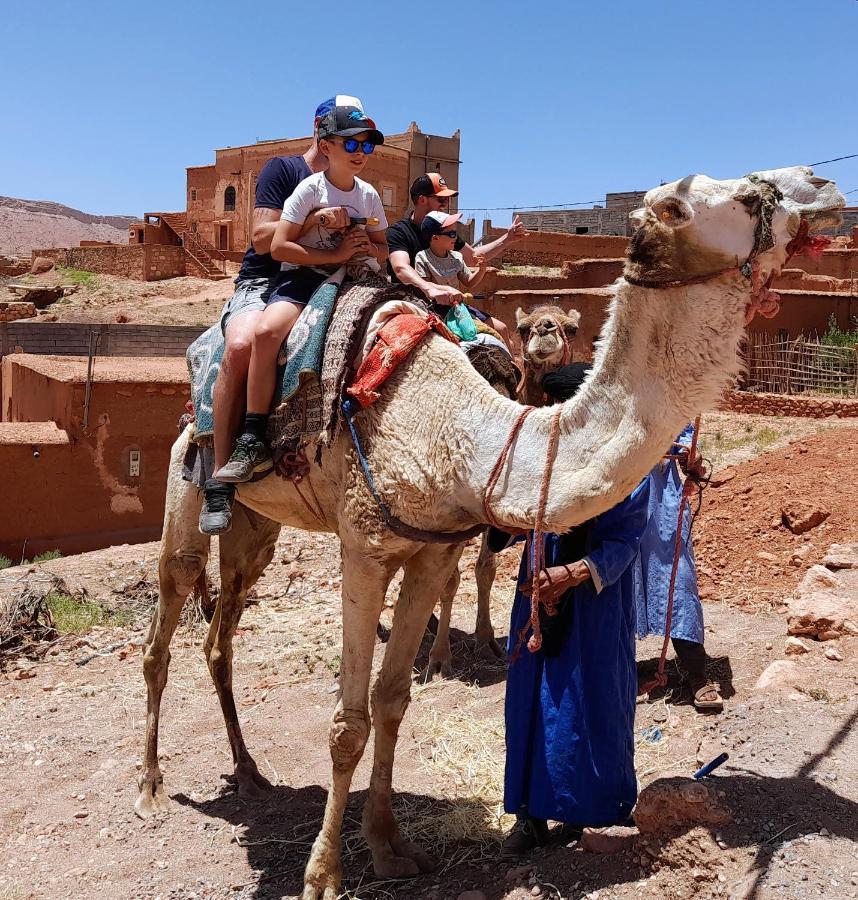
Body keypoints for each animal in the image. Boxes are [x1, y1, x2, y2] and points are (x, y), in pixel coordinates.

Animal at [137, 169, 840, 900]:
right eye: (732, 198)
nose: (820, 186)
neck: (460, 432)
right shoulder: (365, 548)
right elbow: (347, 724)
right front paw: (324, 876)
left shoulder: (431, 549)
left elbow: (393, 701)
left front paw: (390, 849)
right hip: (188, 474)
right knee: (168, 614)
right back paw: (152, 786)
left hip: (260, 530)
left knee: (221, 633)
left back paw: (249, 772)